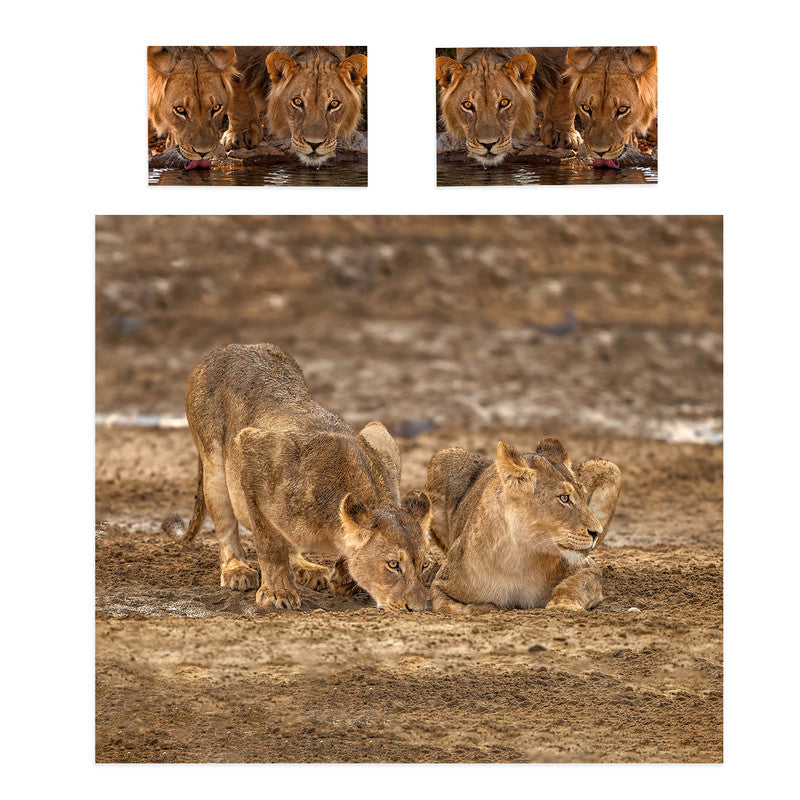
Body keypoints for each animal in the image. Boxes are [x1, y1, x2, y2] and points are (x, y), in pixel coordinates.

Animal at [161, 343, 432, 612]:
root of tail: (230, 347)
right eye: (393, 564)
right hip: (214, 465)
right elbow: (270, 543)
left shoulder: (381, 440)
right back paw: (236, 570)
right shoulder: (253, 449)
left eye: (424, 564)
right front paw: (277, 594)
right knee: (228, 523)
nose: (417, 609)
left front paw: (342, 579)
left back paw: (308, 569)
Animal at [425, 437, 621, 614]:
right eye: (564, 498)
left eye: (583, 495)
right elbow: (450, 608)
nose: (596, 532)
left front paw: (563, 606)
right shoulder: (442, 583)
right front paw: (488, 606)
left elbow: (573, 587)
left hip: (610, 467)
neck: (520, 558)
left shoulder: (588, 569)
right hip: (443, 457)